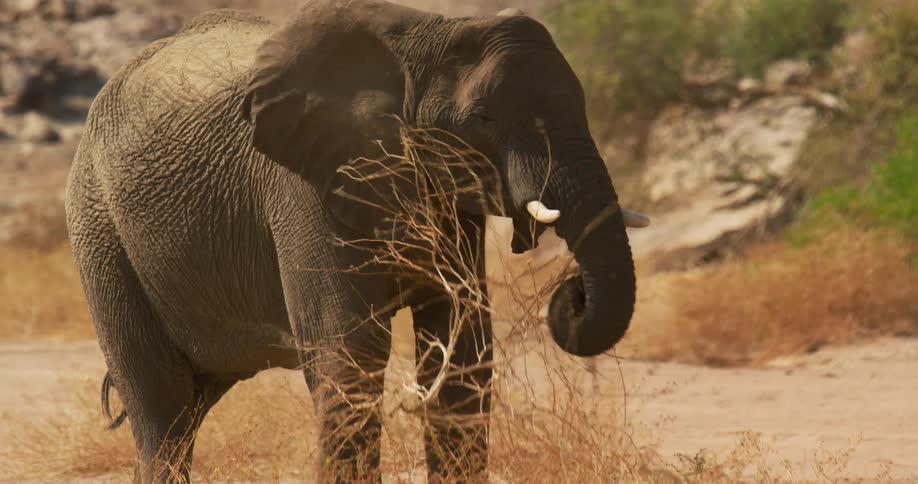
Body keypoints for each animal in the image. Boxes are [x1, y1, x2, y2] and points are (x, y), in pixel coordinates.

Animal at [65, 1, 648, 481]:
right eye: (483, 120)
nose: (571, 293)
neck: (429, 36)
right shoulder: (305, 184)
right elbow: (349, 356)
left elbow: (464, 354)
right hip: (98, 231)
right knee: (162, 412)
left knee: (188, 408)